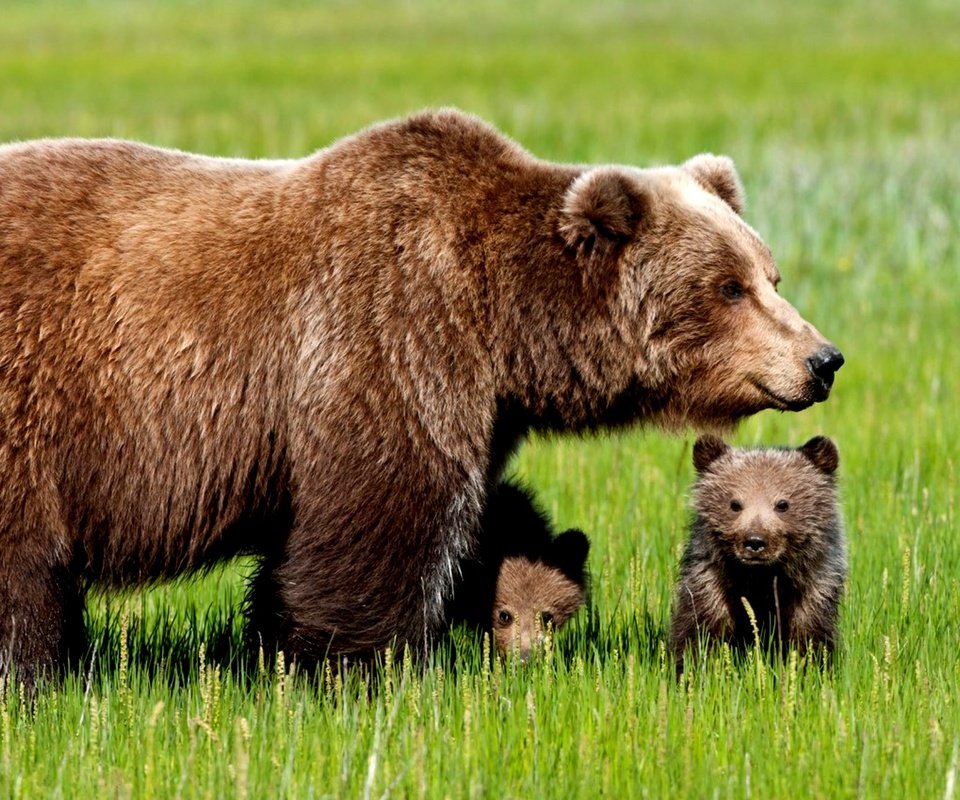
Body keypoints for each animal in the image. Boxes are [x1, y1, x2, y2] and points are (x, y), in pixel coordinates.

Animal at [0, 108, 840, 680]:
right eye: (727, 286)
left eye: (770, 273)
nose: (823, 359)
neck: (502, 323)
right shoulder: (389, 338)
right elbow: (382, 524)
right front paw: (365, 667)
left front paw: (278, 647)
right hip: (33, 406)